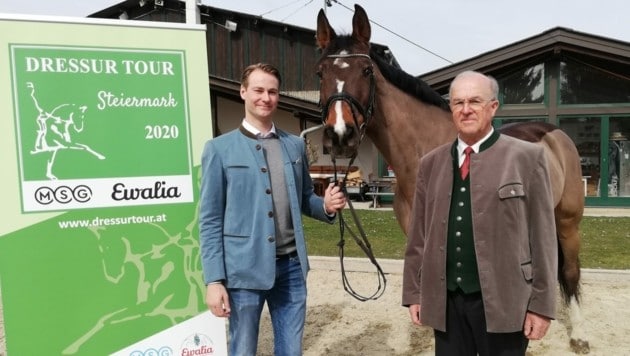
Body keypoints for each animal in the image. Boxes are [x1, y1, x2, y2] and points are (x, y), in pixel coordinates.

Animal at [318, 4, 592, 354]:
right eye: (320, 73)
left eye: (366, 71)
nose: (340, 134)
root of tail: (553, 132)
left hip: (568, 221)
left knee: (569, 272)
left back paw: (579, 335)